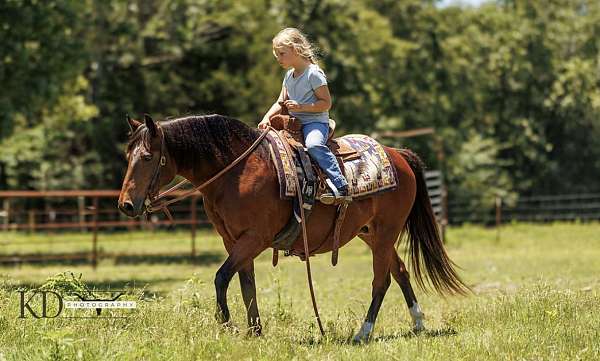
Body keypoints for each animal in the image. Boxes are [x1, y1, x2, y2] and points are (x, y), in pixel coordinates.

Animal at [118, 113, 468, 340]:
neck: (237, 171)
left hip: (385, 234)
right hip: (372, 235)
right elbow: (246, 283)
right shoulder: (233, 240)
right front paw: (254, 331)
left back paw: (363, 332)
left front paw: (228, 325)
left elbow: (221, 277)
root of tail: (399, 155)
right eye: (127, 154)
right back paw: (418, 324)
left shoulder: (255, 238)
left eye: (147, 156)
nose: (125, 204)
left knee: (380, 282)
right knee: (401, 272)